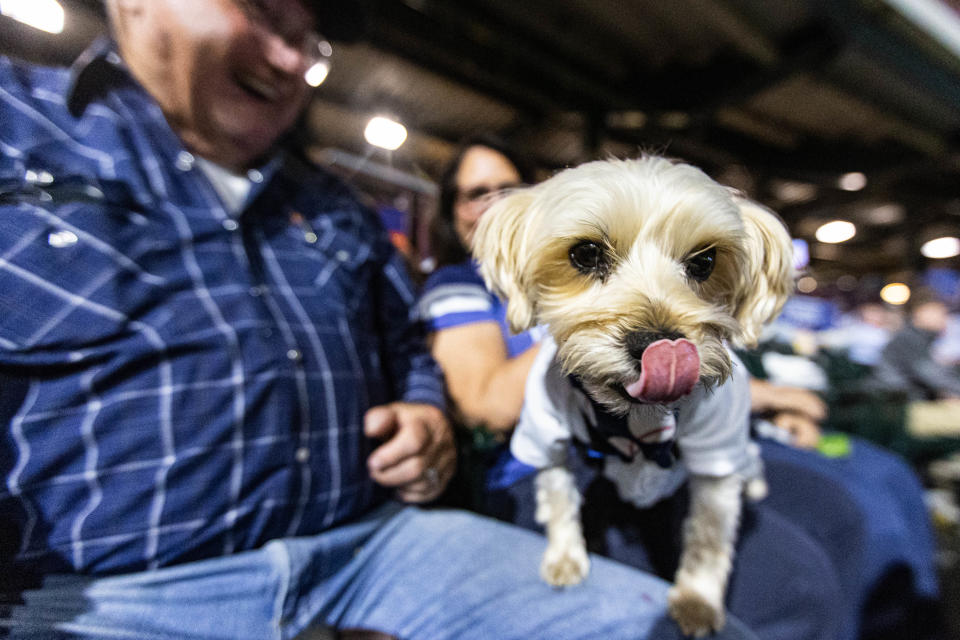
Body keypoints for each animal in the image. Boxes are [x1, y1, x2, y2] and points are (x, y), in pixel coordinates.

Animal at [472, 156, 796, 636]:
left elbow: (709, 536)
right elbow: (558, 495)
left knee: (749, 463)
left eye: (705, 261)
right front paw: (565, 557)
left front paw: (697, 602)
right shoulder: (544, 433)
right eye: (586, 254)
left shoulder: (717, 452)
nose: (658, 346)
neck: (634, 418)